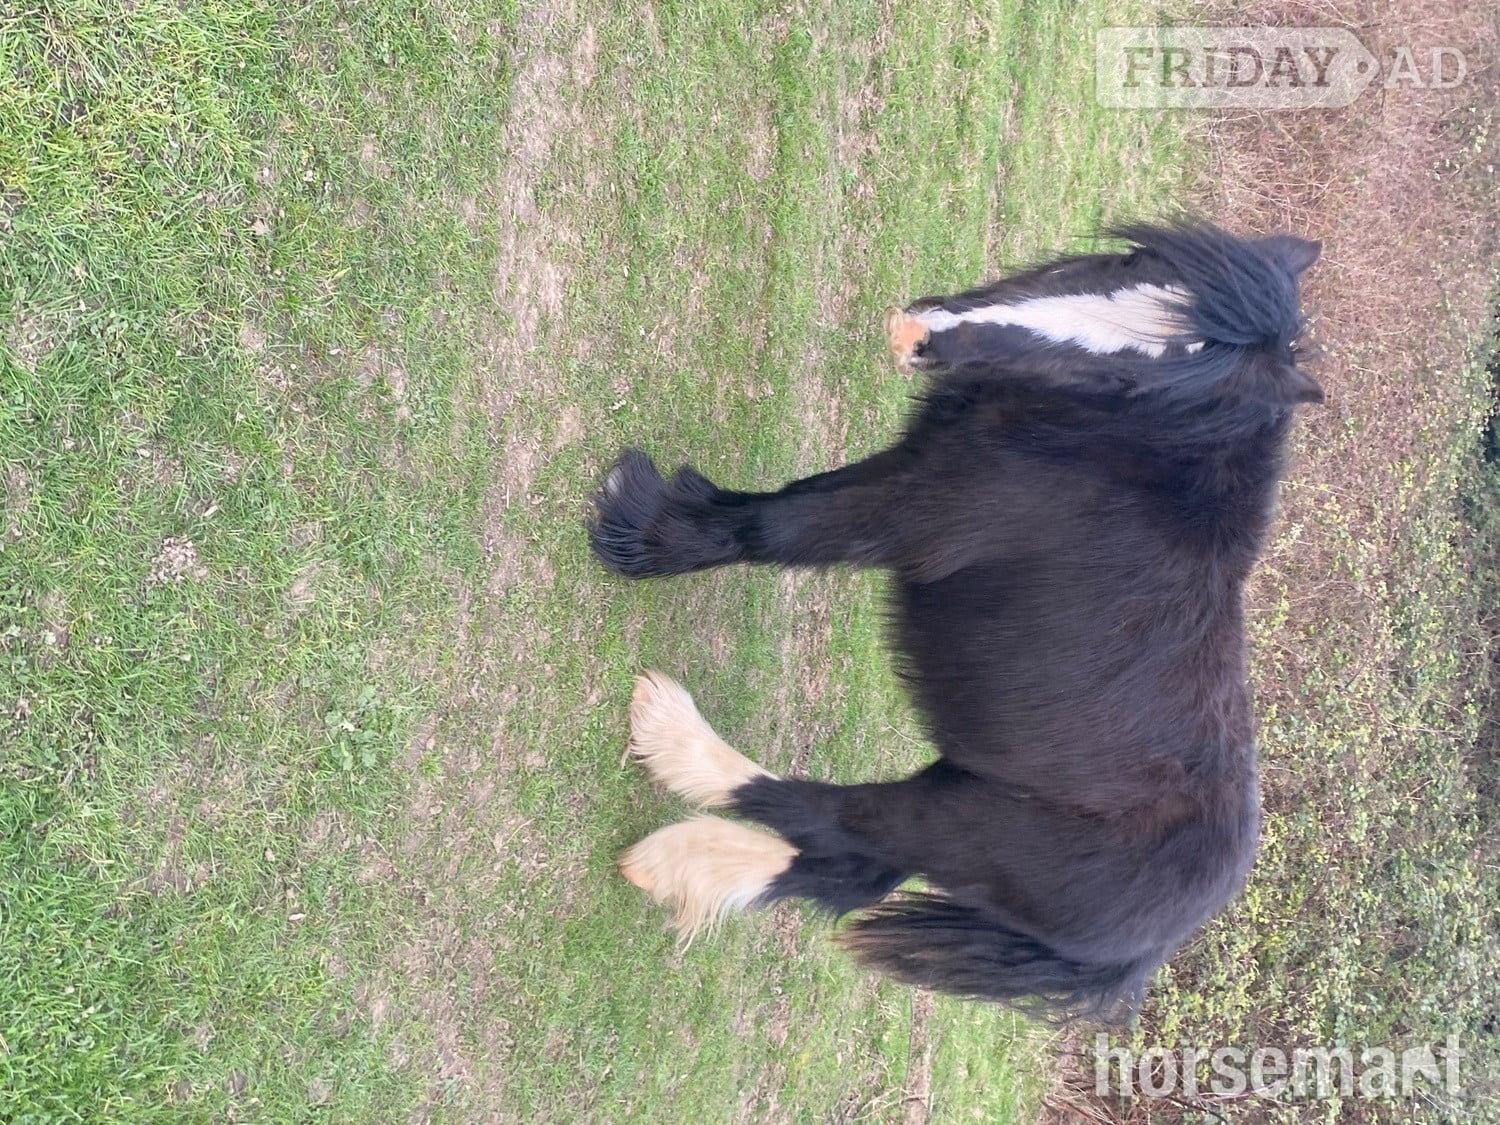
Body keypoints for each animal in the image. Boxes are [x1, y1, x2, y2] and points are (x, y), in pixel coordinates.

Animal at [588, 221, 1321, 1018]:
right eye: (1127, 262)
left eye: (1150, 373)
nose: (919, 333)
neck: (1134, 456)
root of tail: (1149, 951)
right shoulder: (912, 462)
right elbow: (790, 496)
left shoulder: (911, 515)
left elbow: (777, 528)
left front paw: (645, 534)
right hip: (955, 790)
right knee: (849, 869)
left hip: (959, 828)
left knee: (832, 821)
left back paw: (672, 750)